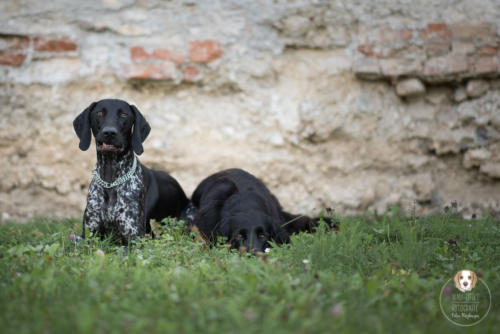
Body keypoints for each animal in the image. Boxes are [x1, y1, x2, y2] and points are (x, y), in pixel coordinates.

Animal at [73, 98, 190, 243]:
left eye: (124, 115)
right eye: (99, 113)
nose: (109, 132)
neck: (111, 179)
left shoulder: (135, 237)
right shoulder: (89, 234)